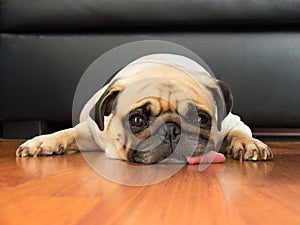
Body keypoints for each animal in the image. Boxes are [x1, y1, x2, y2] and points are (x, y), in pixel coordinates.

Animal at [17, 54, 274, 163]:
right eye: (137, 120)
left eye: (201, 119)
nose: (171, 131)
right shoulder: (90, 131)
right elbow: (66, 133)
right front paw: (43, 142)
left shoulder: (233, 121)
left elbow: (239, 133)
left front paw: (248, 144)